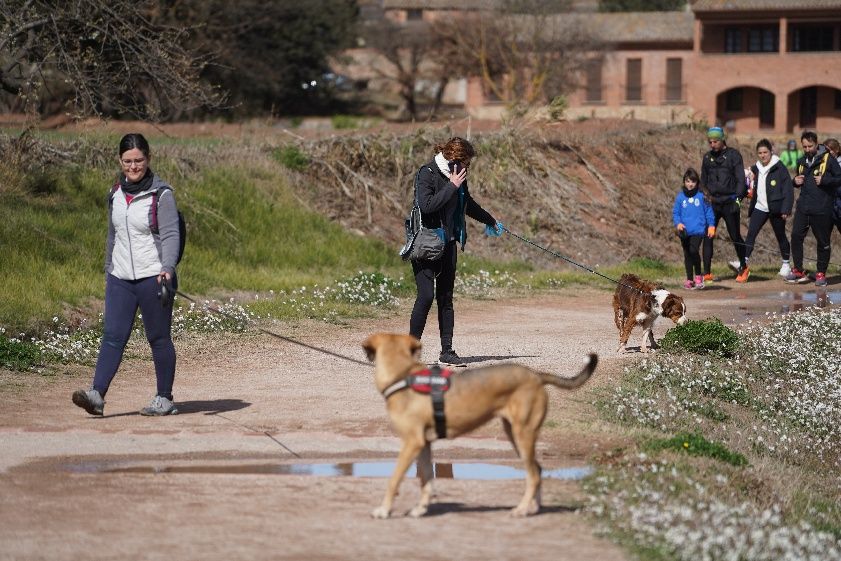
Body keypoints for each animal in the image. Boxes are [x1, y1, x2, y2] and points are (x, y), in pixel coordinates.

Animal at [362, 330, 596, 520]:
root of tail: (536, 375)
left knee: (534, 475)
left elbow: (394, 480)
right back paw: (533, 508)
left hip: (523, 433)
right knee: (537, 470)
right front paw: (420, 509)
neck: (402, 375)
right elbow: (426, 479)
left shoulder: (411, 443)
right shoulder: (424, 444)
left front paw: (384, 510)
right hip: (514, 434)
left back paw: (522, 509)